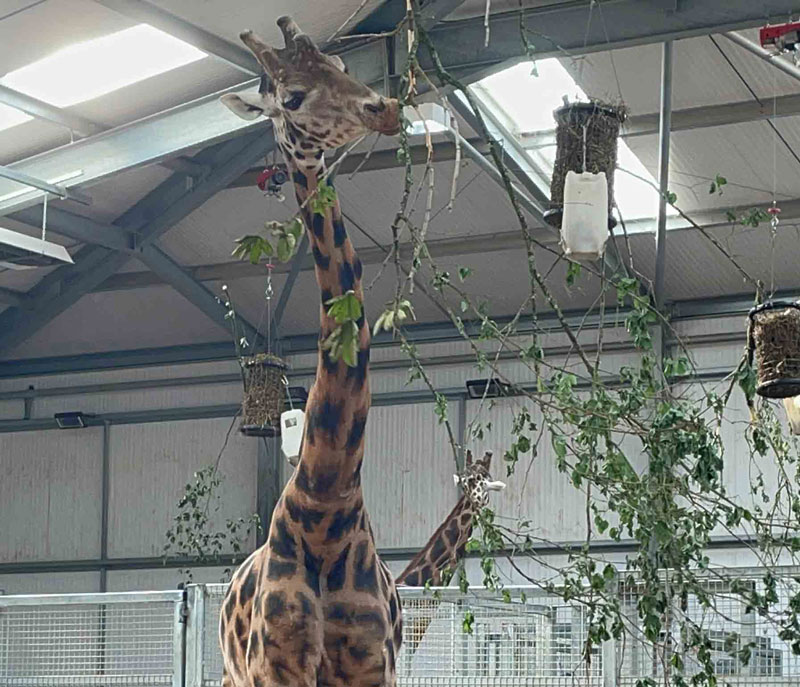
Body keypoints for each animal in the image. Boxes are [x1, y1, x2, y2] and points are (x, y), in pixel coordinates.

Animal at [217, 16, 402, 687]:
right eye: (292, 97)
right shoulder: (276, 665)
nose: (385, 108)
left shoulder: (375, 665)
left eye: (342, 64)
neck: (327, 498)